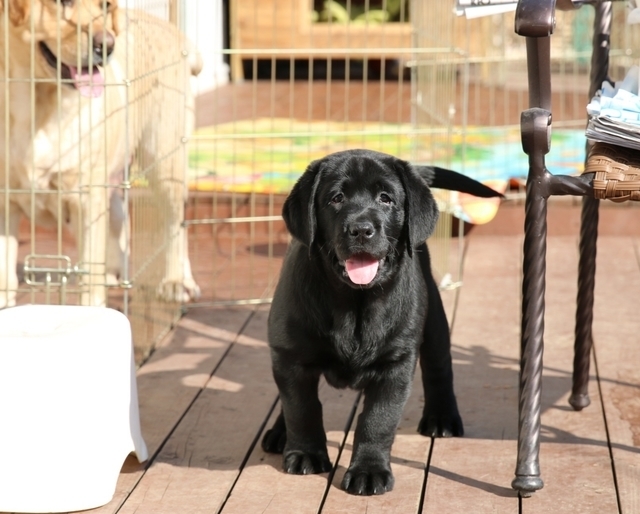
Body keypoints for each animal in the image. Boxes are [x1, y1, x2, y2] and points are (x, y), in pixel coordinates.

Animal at [0, 0, 200, 307]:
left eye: (105, 5)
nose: (107, 45)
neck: (38, 104)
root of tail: (173, 31)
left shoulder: (85, 198)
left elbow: (88, 281)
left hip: (163, 162)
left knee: (176, 221)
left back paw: (177, 281)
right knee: (119, 214)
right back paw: (115, 270)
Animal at [261, 149, 501, 495]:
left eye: (386, 199)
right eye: (336, 198)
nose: (361, 229)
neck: (355, 303)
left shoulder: (395, 364)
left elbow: (378, 419)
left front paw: (369, 471)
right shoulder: (290, 355)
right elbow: (301, 407)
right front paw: (306, 453)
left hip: (433, 319)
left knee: (439, 367)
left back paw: (442, 417)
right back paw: (280, 433)